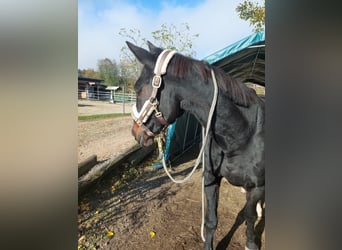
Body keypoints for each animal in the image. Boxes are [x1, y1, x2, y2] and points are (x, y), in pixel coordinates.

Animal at [127, 41, 264, 250]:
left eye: (138, 88)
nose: (135, 132)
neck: (241, 135)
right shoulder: (211, 179)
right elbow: (211, 221)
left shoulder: (257, 186)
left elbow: (249, 216)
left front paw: (251, 243)